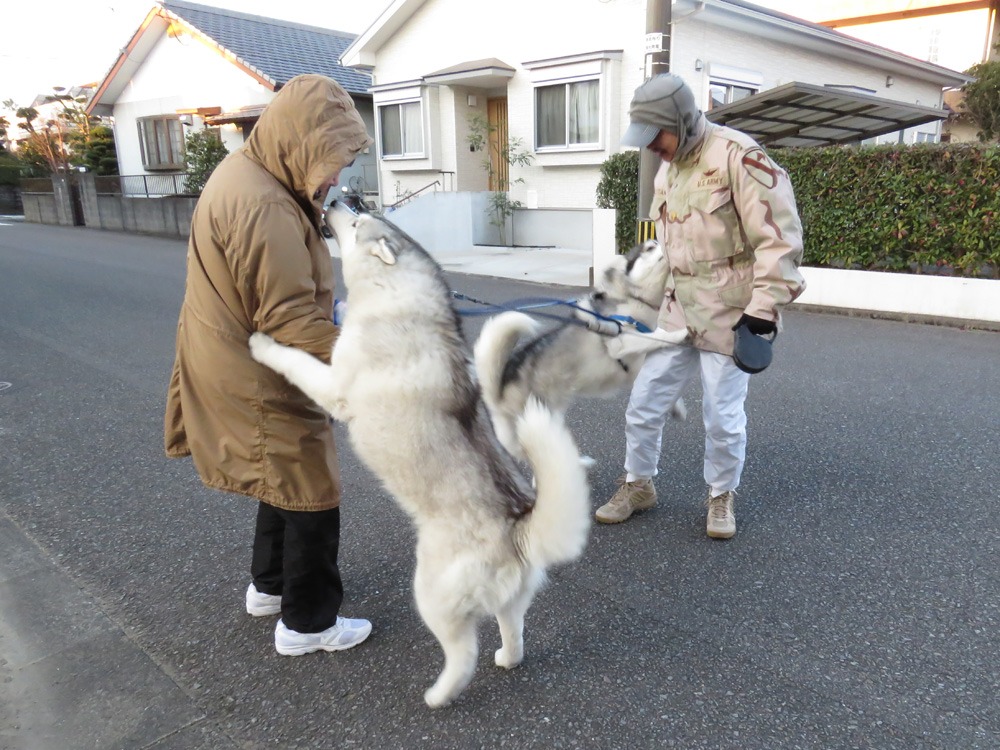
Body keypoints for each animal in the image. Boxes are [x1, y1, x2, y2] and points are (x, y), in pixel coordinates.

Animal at [250, 201, 588, 712]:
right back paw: (507, 659)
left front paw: (263, 345)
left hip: (430, 595)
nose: (337, 200)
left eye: (355, 221)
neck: (395, 296)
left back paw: (439, 694)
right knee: (513, 631)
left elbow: (295, 360)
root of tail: (518, 524)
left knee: (463, 654)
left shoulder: (335, 385)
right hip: (509, 601)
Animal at [472, 241, 684, 464]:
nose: (667, 243)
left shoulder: (635, 365)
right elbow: (658, 337)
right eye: (650, 247)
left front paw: (677, 407)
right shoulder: (620, 341)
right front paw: (683, 333)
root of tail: (500, 390)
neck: (634, 300)